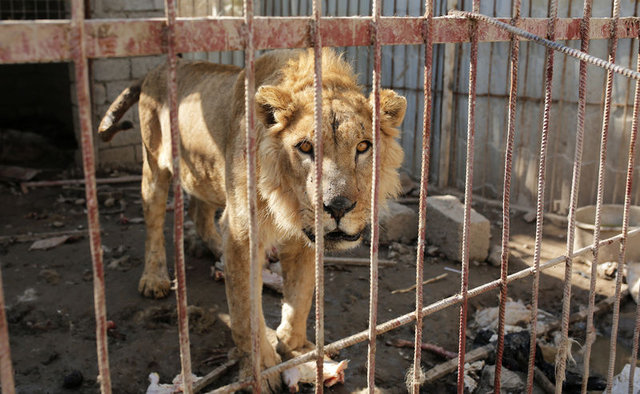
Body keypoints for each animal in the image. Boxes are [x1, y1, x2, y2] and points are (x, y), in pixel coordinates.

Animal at [98, 47, 408, 390]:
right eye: (305, 147)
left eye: (364, 146)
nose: (338, 206)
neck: (286, 201)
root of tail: (153, 70)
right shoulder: (243, 234)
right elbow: (246, 310)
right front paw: (261, 367)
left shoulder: (304, 240)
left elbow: (301, 297)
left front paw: (298, 349)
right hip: (154, 165)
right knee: (153, 220)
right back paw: (154, 278)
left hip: (205, 173)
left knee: (199, 213)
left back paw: (216, 252)